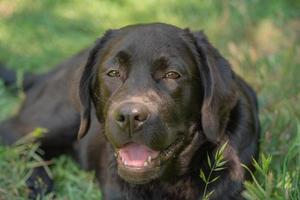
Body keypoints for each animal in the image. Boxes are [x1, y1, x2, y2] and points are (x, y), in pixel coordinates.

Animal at [0, 23, 260, 198]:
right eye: (113, 73)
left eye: (172, 75)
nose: (130, 117)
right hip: (61, 119)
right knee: (14, 134)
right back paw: (37, 181)